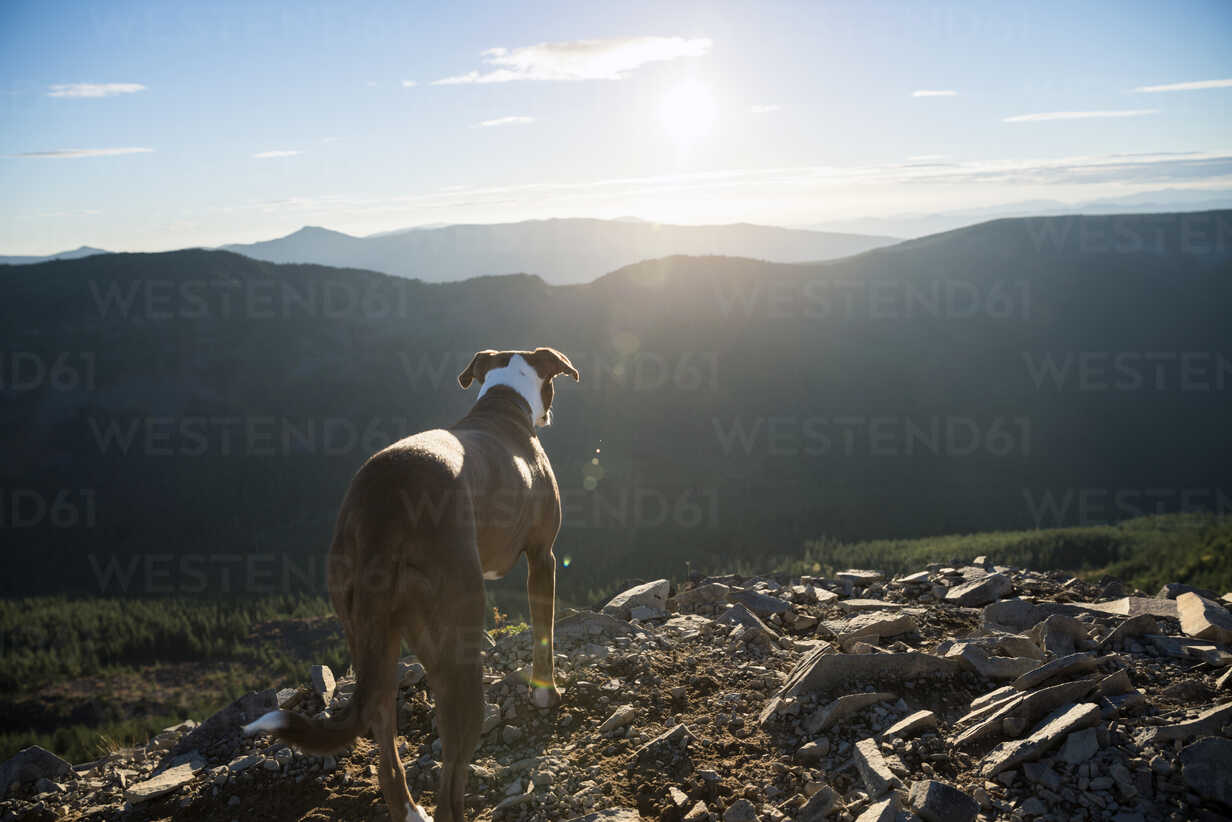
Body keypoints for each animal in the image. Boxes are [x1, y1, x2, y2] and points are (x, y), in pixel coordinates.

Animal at [247, 347, 583, 822]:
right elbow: (544, 634)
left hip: (371, 635)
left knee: (384, 734)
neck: (504, 402)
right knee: (451, 777)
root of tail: (383, 505)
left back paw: (406, 806)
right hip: (456, 636)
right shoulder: (542, 558)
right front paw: (546, 693)